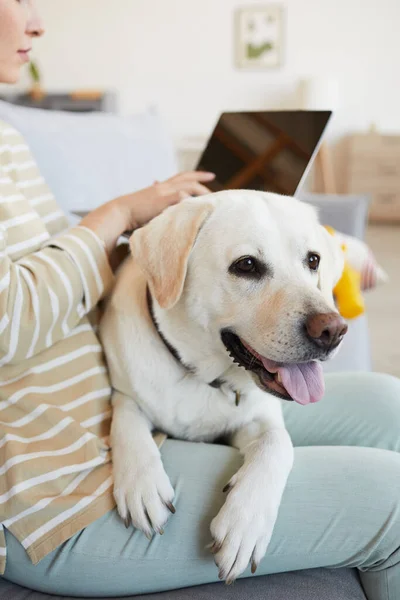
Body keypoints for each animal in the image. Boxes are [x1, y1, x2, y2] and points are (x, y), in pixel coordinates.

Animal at [100, 191, 346, 580]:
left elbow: (279, 443)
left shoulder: (261, 418)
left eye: (313, 260)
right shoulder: (123, 393)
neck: (201, 374)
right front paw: (141, 482)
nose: (333, 330)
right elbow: (126, 419)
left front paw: (245, 523)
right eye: (246, 265)